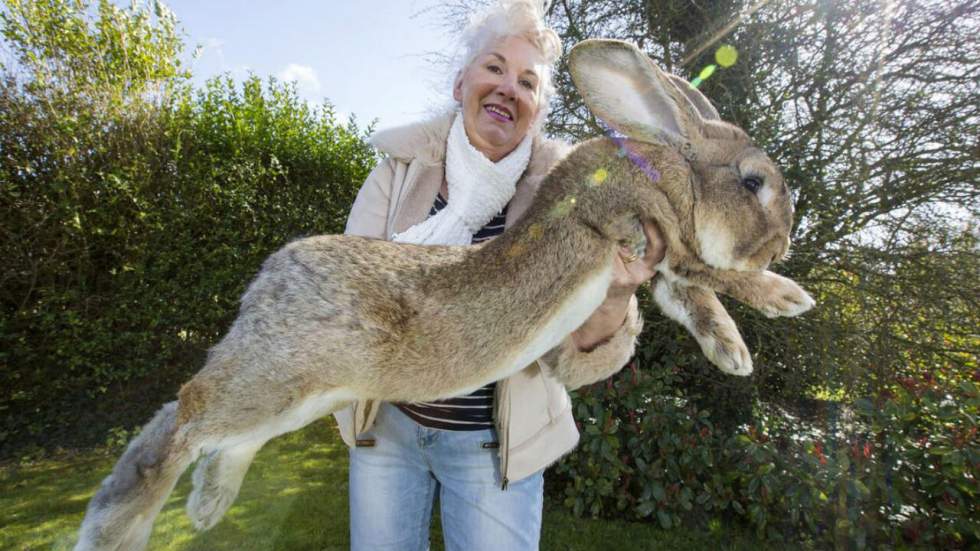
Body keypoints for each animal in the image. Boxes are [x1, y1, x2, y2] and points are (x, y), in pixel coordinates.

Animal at [72, 40, 816, 551]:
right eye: (754, 182)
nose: (782, 243)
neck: (666, 167)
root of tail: (266, 283)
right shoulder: (648, 231)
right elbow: (712, 274)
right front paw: (786, 296)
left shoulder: (659, 266)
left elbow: (693, 299)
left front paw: (733, 353)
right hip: (279, 376)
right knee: (184, 417)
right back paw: (119, 525)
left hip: (299, 395)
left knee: (214, 432)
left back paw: (204, 505)